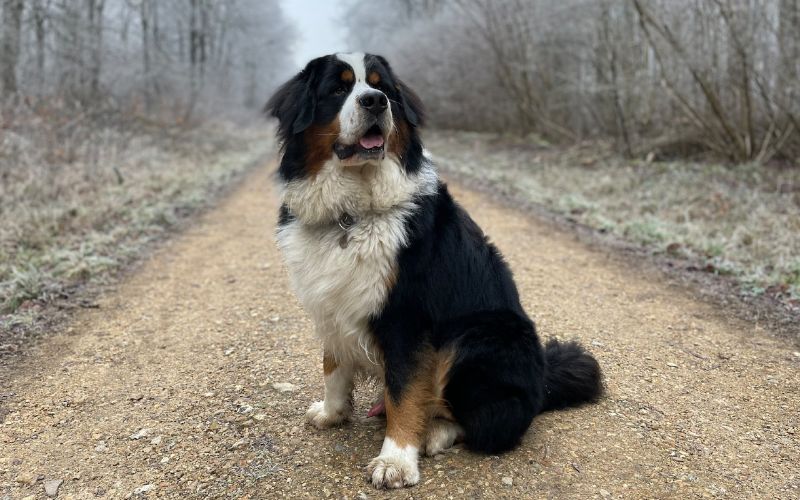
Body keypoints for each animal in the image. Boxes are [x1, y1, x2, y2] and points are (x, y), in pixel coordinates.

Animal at [266, 53, 604, 488]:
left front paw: (396, 460)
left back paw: (434, 431)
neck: (352, 213)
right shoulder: (331, 303)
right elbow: (333, 366)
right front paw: (331, 413)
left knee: (484, 422)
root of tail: (543, 383)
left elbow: (405, 393)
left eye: (383, 88)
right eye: (338, 89)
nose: (375, 102)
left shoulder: (407, 319)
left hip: (477, 336)